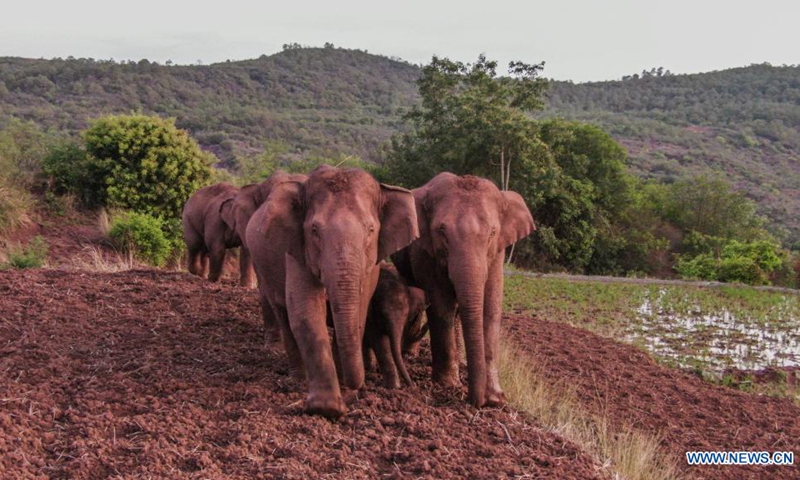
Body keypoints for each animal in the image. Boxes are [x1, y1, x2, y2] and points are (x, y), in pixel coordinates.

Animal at [244, 165, 418, 416]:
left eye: (371, 230)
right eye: (314, 230)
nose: (356, 388)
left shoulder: (372, 264)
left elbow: (359, 312)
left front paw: (343, 388)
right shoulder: (297, 250)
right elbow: (306, 312)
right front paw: (327, 408)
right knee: (282, 312)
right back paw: (297, 379)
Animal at [390, 172, 536, 408]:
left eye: (492, 232)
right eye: (441, 231)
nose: (478, 402)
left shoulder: (497, 254)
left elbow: (491, 308)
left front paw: (496, 398)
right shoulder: (425, 251)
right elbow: (441, 307)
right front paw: (448, 385)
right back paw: (410, 354)